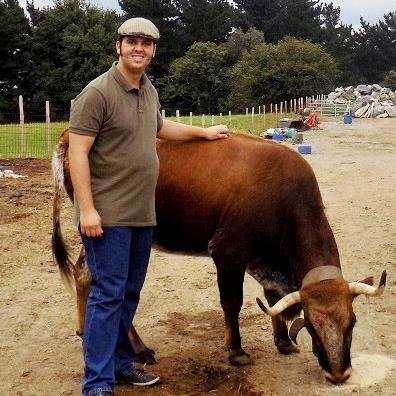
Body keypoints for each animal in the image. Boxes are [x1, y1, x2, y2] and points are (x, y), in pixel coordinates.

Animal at [52, 130, 386, 384]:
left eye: (352, 323)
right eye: (313, 327)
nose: (339, 374)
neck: (285, 201)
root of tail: (70, 134)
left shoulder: (263, 262)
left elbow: (274, 300)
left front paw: (282, 342)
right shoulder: (228, 252)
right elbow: (232, 303)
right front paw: (236, 351)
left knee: (84, 274)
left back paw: (85, 332)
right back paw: (139, 349)